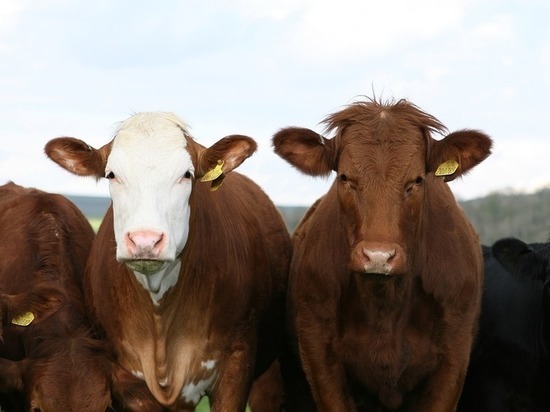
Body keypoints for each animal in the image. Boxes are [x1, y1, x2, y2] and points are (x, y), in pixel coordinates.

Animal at [274, 98, 494, 410]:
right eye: (345, 177)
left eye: (417, 180)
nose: (378, 256)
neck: (385, 306)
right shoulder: (318, 352)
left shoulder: (454, 355)